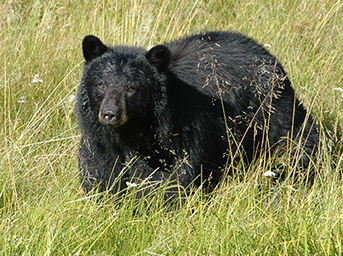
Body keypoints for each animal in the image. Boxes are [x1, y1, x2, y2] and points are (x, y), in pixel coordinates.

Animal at [75, 31, 320, 197]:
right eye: (101, 84)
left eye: (131, 88)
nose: (110, 114)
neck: (132, 131)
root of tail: (267, 55)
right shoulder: (98, 141)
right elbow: (99, 169)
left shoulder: (180, 131)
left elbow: (174, 176)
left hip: (271, 108)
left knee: (297, 139)